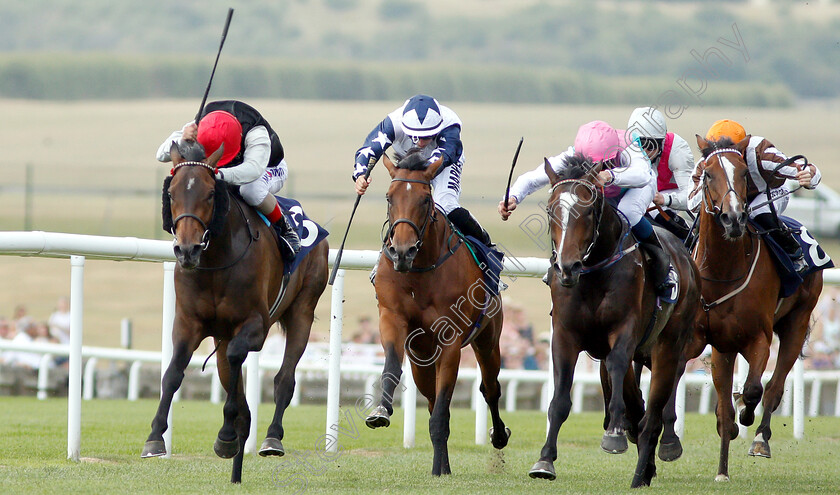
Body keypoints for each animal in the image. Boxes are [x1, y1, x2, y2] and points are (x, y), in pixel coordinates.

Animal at [141, 140, 328, 484]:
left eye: (210, 194)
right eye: (171, 193)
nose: (186, 250)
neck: (216, 259)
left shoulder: (255, 325)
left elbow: (237, 361)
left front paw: (227, 434)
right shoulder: (188, 323)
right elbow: (173, 373)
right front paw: (155, 437)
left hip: (303, 309)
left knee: (284, 378)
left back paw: (272, 437)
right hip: (224, 333)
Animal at [366, 150, 512, 476]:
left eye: (424, 199)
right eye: (389, 197)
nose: (402, 251)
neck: (418, 272)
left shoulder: (451, 341)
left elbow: (444, 411)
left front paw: (438, 470)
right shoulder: (392, 319)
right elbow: (392, 366)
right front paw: (381, 410)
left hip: (488, 340)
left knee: (490, 388)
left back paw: (498, 436)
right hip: (421, 358)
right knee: (432, 398)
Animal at [528, 156, 704, 488]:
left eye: (587, 210)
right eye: (551, 209)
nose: (567, 267)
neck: (593, 272)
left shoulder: (624, 330)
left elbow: (618, 365)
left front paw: (614, 434)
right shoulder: (565, 336)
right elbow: (560, 399)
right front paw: (545, 460)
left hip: (669, 345)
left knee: (656, 408)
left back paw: (647, 463)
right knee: (641, 407)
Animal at [692, 135, 824, 480]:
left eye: (742, 172)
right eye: (707, 174)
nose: (733, 218)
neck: (724, 272)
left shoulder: (759, 338)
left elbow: (754, 389)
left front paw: (746, 416)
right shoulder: (716, 342)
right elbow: (723, 406)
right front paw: (722, 468)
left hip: (796, 322)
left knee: (775, 387)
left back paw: (760, 438)